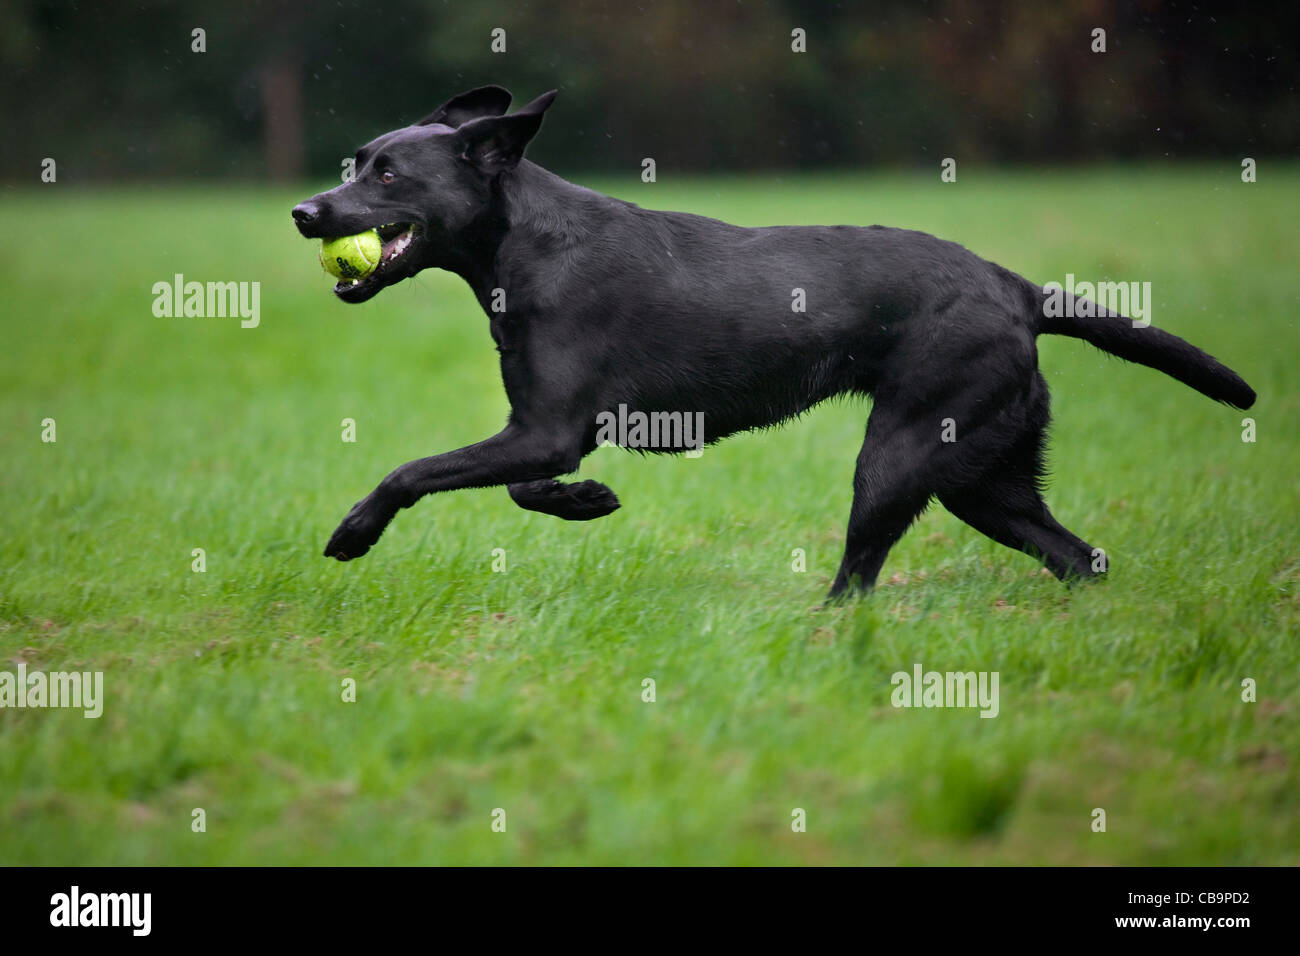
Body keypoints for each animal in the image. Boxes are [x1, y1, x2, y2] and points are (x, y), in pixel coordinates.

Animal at [292, 85, 1248, 595]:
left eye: (388, 175)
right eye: (356, 161)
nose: (304, 212)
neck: (524, 244)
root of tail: (1013, 285)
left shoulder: (547, 428)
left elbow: (414, 470)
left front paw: (354, 532)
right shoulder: (547, 431)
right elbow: (524, 487)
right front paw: (585, 501)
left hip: (901, 458)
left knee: (859, 578)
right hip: (985, 479)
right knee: (1079, 558)